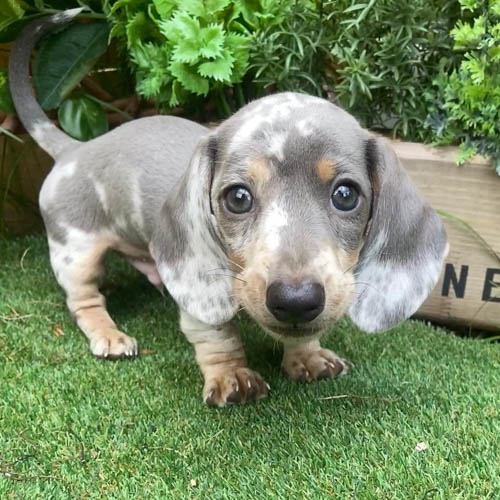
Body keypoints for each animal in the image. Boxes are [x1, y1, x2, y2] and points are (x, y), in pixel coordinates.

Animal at [6, 8, 446, 406]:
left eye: (346, 194)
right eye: (237, 197)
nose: (295, 299)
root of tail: (75, 149)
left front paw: (307, 356)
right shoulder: (199, 298)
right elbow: (217, 335)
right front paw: (231, 375)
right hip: (75, 251)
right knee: (82, 300)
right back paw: (108, 334)